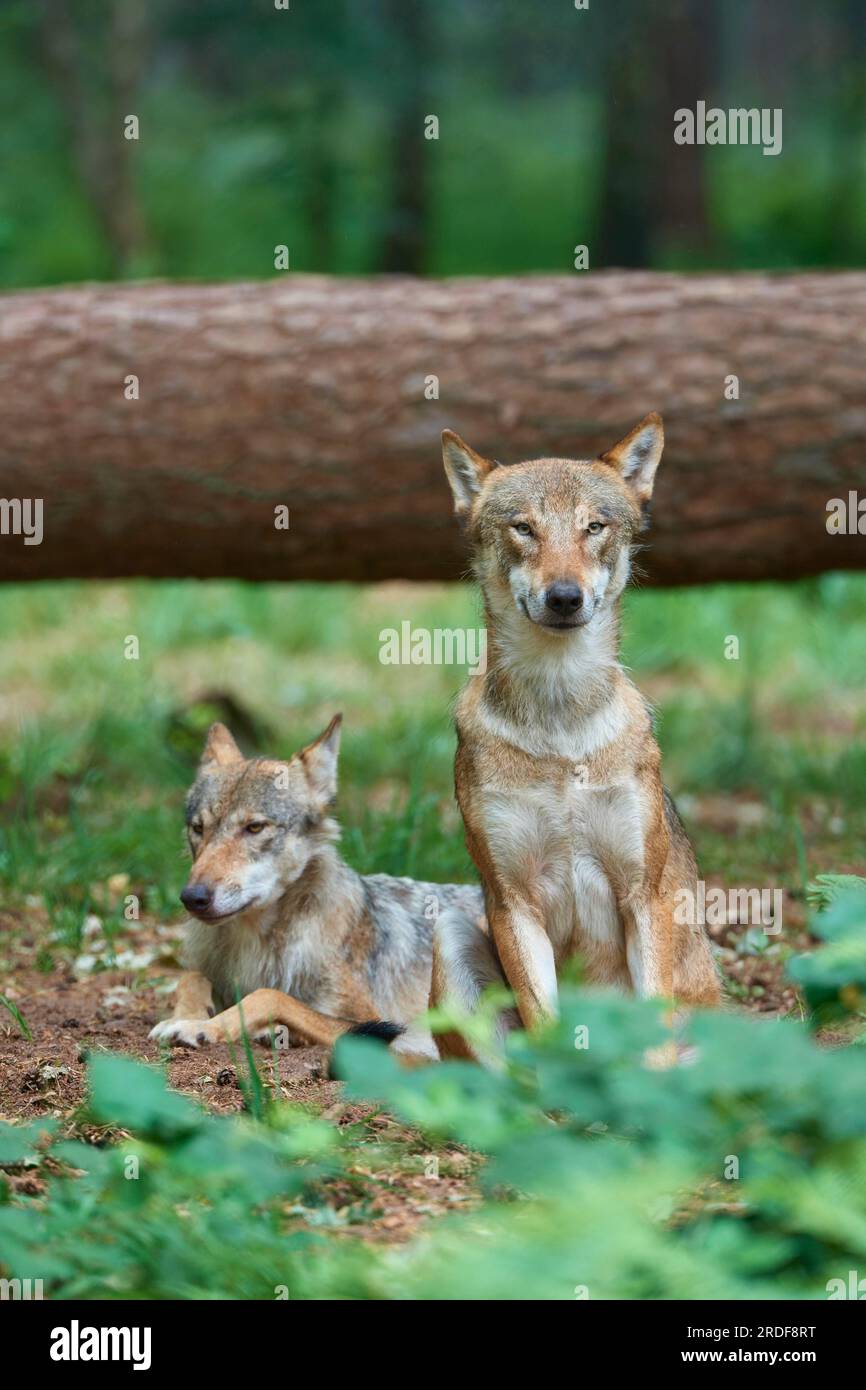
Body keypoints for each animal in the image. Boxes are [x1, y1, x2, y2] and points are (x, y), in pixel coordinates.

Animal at [148, 717, 480, 1050]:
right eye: (198, 828)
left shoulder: (376, 1024)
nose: (192, 897)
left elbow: (269, 995)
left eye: (254, 827)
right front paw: (189, 1016)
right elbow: (191, 979)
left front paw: (202, 1026)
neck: (257, 948)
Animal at [417, 411, 722, 1061]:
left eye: (594, 527)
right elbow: (547, 1023)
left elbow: (652, 1035)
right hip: (450, 933)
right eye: (524, 528)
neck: (560, 729)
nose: (563, 597)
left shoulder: (644, 894)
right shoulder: (512, 900)